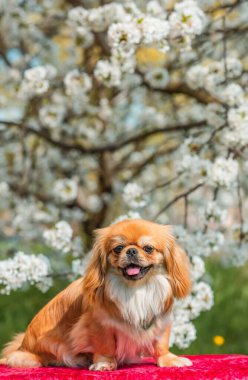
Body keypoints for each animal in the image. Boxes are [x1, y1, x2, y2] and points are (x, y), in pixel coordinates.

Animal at [0, 218, 192, 370]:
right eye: (118, 248)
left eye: (148, 248)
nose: (131, 250)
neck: (136, 289)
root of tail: (22, 346)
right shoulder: (98, 325)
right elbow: (106, 347)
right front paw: (105, 364)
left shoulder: (161, 322)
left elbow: (161, 345)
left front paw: (169, 359)